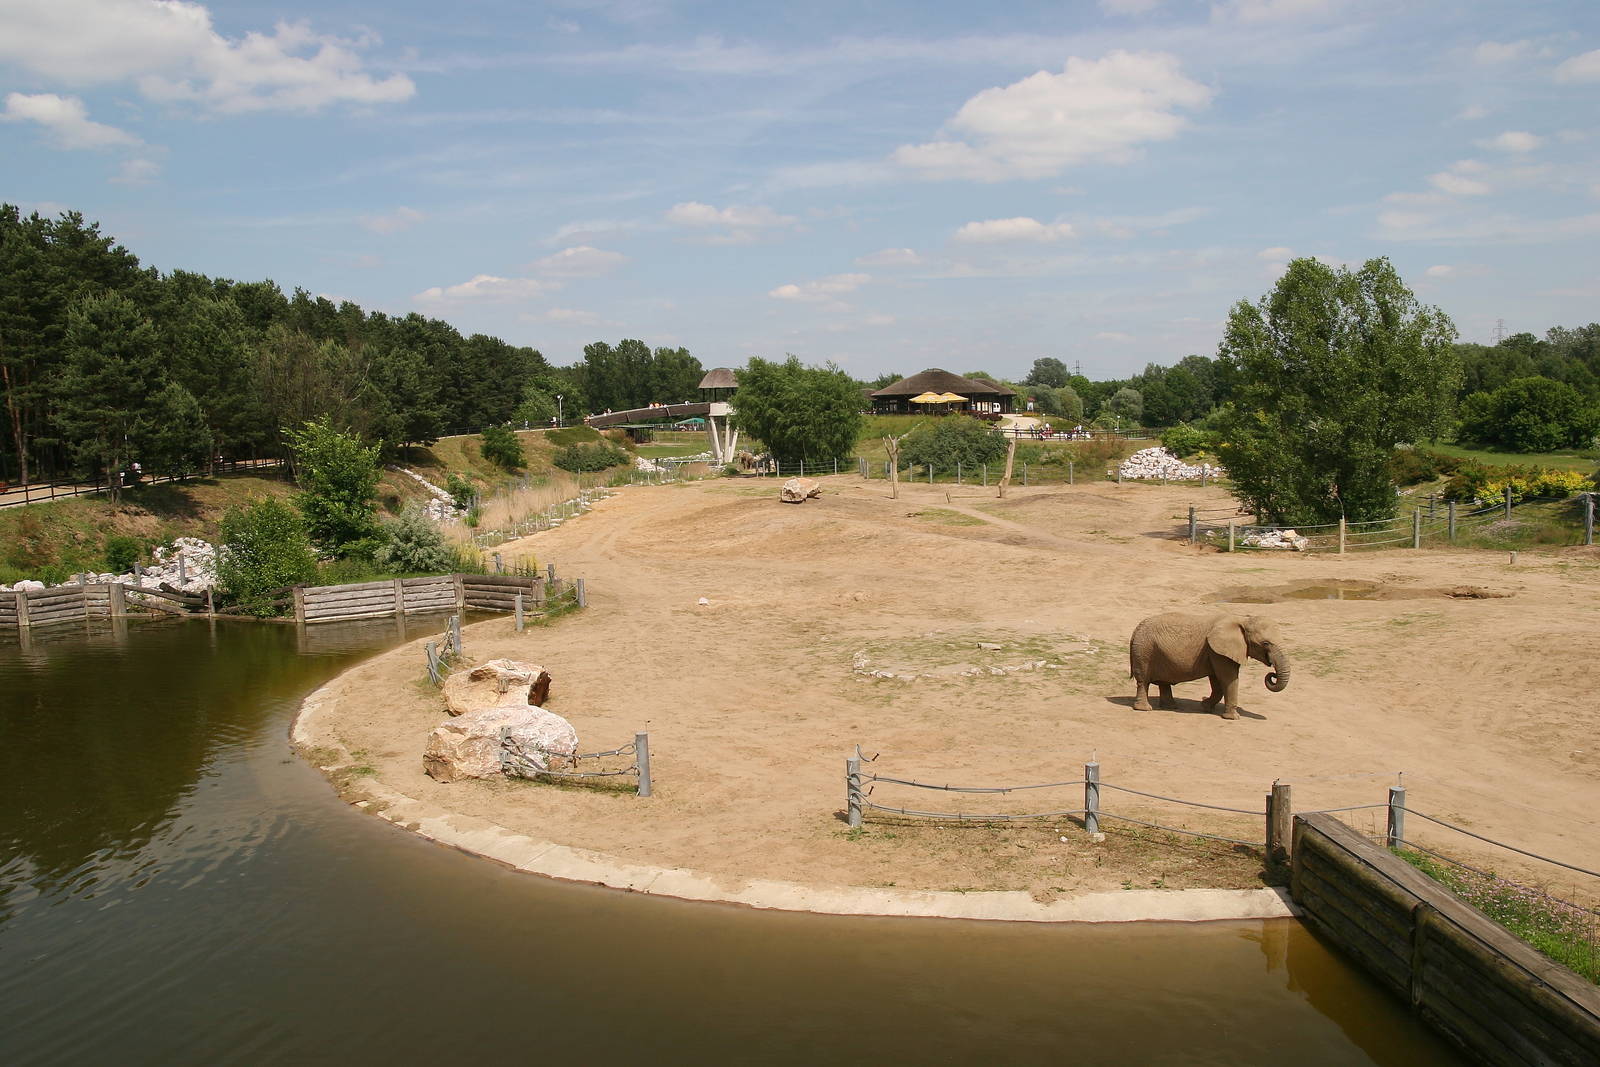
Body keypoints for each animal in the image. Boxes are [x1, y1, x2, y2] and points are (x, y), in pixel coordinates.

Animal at [1128, 612, 1289, 720]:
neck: (1243, 619)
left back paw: (1170, 707)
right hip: (1144, 652)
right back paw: (1145, 709)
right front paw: (1233, 718)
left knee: (1163, 682)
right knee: (1143, 681)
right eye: (1265, 643)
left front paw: (1205, 706)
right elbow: (1228, 679)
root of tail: (1135, 631)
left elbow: (1217, 680)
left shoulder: (1215, 652)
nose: (1272, 675)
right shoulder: (1218, 652)